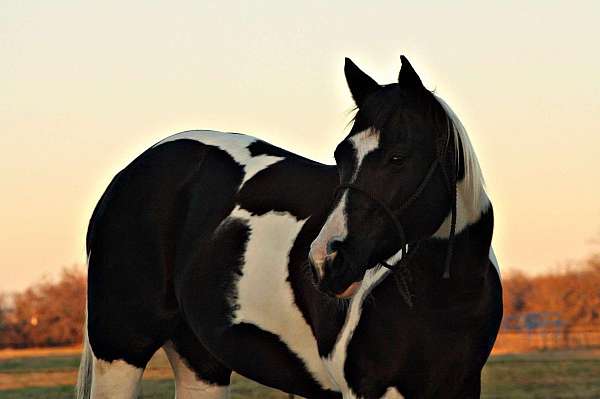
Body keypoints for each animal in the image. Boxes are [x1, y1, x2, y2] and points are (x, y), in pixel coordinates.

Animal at [77, 57, 504, 399]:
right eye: (341, 155)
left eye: (399, 157)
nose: (326, 261)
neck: (445, 298)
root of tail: (130, 174)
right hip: (120, 348)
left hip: (200, 363)